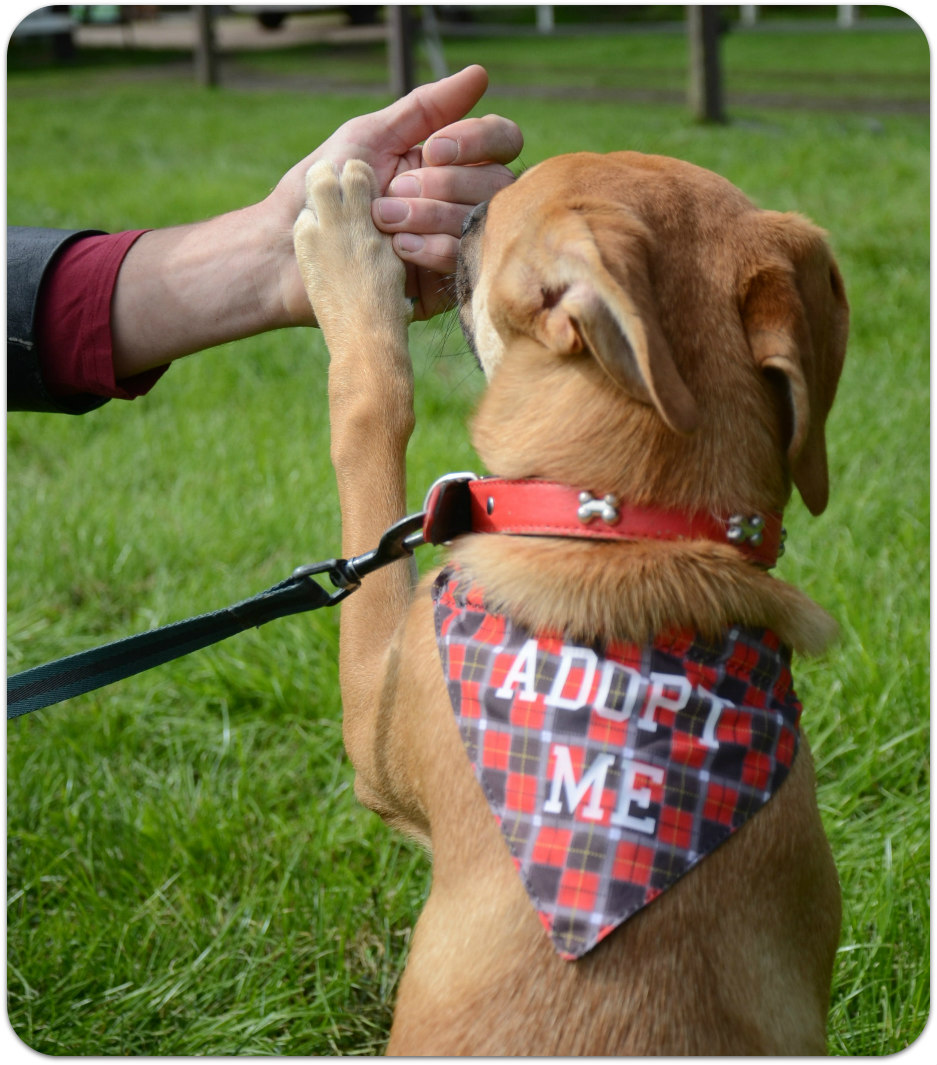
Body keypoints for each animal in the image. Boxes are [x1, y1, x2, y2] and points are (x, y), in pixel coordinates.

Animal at [293, 150, 847, 1056]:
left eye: (497, 215)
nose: (469, 203)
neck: (627, 528)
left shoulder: (377, 714)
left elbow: (372, 405)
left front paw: (345, 247)